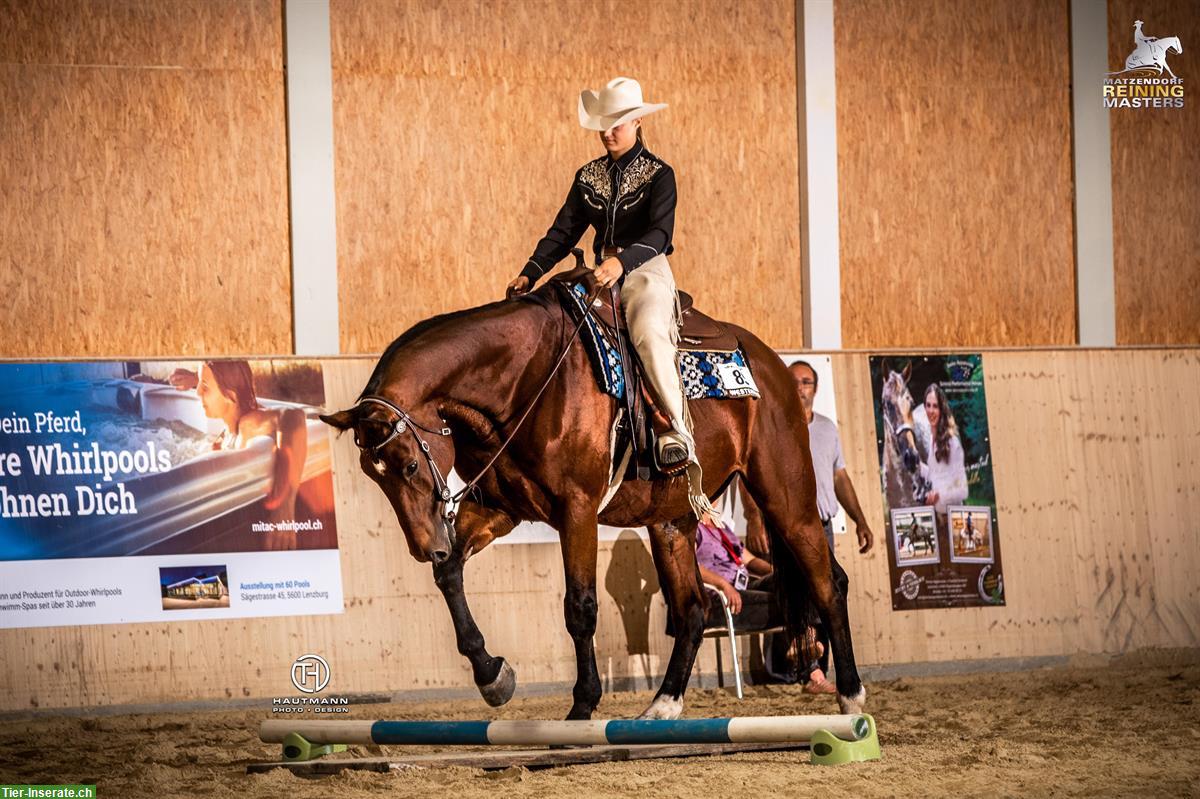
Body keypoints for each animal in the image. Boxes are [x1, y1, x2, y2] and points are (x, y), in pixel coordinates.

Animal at [319, 278, 864, 715]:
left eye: (410, 465)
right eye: (373, 474)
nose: (423, 545)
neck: (525, 378)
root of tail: (775, 368)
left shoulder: (576, 510)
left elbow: (579, 607)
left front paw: (582, 704)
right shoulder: (503, 508)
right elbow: (450, 573)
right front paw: (492, 674)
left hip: (786, 498)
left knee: (829, 583)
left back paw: (851, 695)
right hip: (671, 521)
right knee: (692, 608)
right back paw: (662, 706)